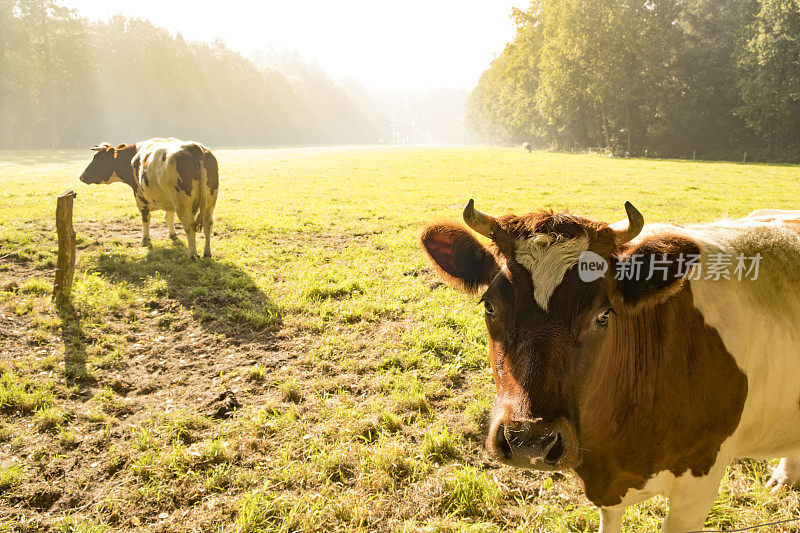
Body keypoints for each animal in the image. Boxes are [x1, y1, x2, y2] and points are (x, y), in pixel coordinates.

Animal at [78, 137, 219, 258]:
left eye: (97, 159)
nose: (81, 176)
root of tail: (193, 146)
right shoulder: (169, 201)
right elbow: (168, 217)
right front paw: (173, 235)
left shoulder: (140, 197)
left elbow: (146, 219)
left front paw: (145, 240)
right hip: (210, 202)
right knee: (208, 224)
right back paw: (207, 253)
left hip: (182, 203)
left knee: (189, 226)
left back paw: (193, 254)